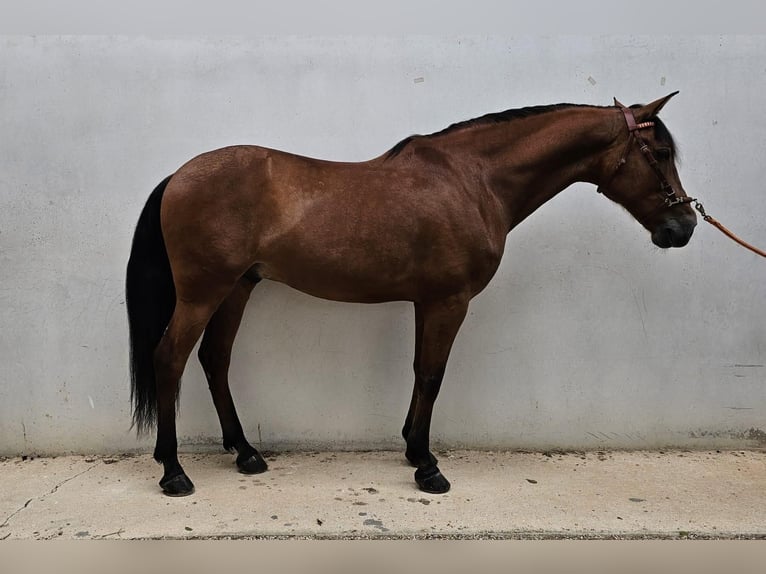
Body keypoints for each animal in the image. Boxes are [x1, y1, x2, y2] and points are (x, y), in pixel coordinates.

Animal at [126, 92, 696, 496]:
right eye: (660, 152)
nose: (684, 227)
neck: (474, 180)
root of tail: (179, 175)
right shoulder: (449, 301)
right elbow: (433, 374)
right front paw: (427, 466)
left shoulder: (429, 302)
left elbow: (422, 372)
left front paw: (411, 449)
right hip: (204, 292)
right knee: (170, 359)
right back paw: (173, 471)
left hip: (237, 289)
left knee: (214, 360)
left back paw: (245, 453)